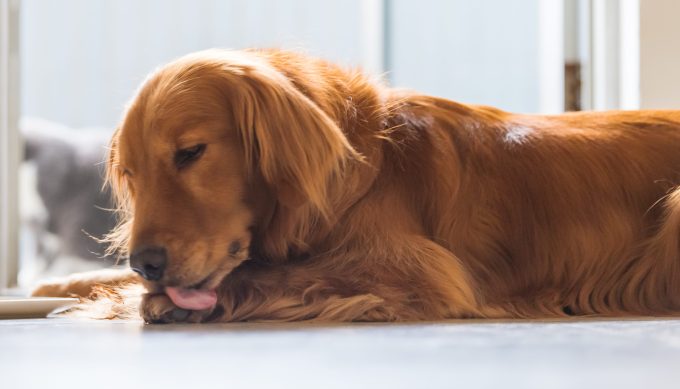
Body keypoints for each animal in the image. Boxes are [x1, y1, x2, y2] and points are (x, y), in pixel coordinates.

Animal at [33, 47, 680, 322]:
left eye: (191, 153)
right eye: (131, 174)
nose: (147, 262)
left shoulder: (420, 269)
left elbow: (281, 273)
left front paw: (159, 301)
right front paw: (62, 285)